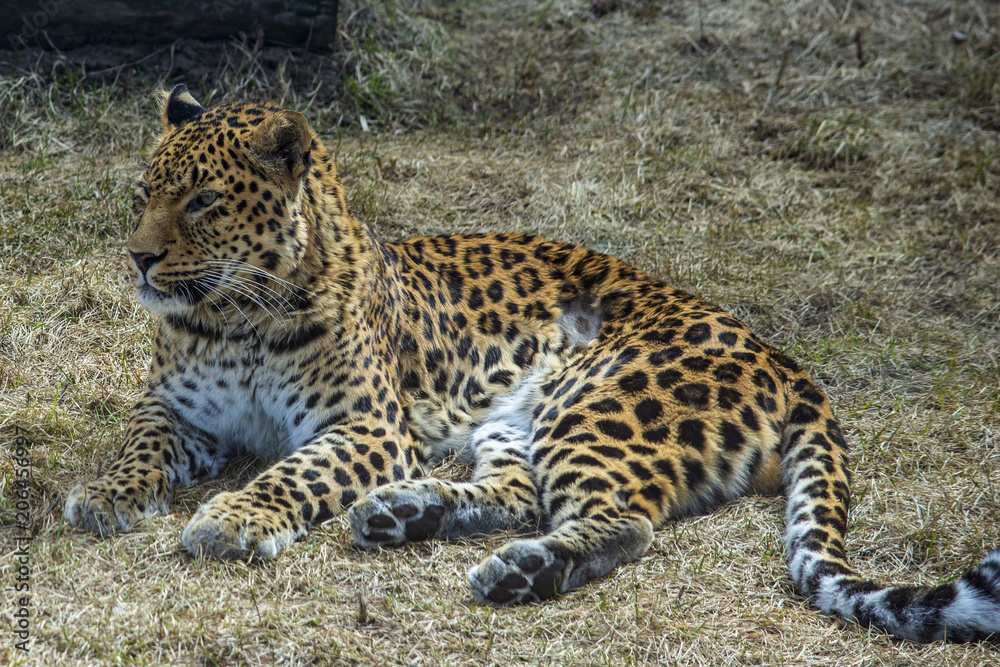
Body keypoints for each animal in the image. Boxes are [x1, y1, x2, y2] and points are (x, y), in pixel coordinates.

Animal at [64, 85, 1000, 643]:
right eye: (143, 194)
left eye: (202, 201)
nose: (138, 259)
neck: (234, 317)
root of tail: (782, 355)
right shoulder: (173, 408)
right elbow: (139, 447)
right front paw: (106, 496)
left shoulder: (366, 426)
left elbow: (294, 471)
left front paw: (232, 517)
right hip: (516, 419)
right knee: (520, 495)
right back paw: (403, 513)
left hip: (598, 405)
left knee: (622, 521)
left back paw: (514, 568)